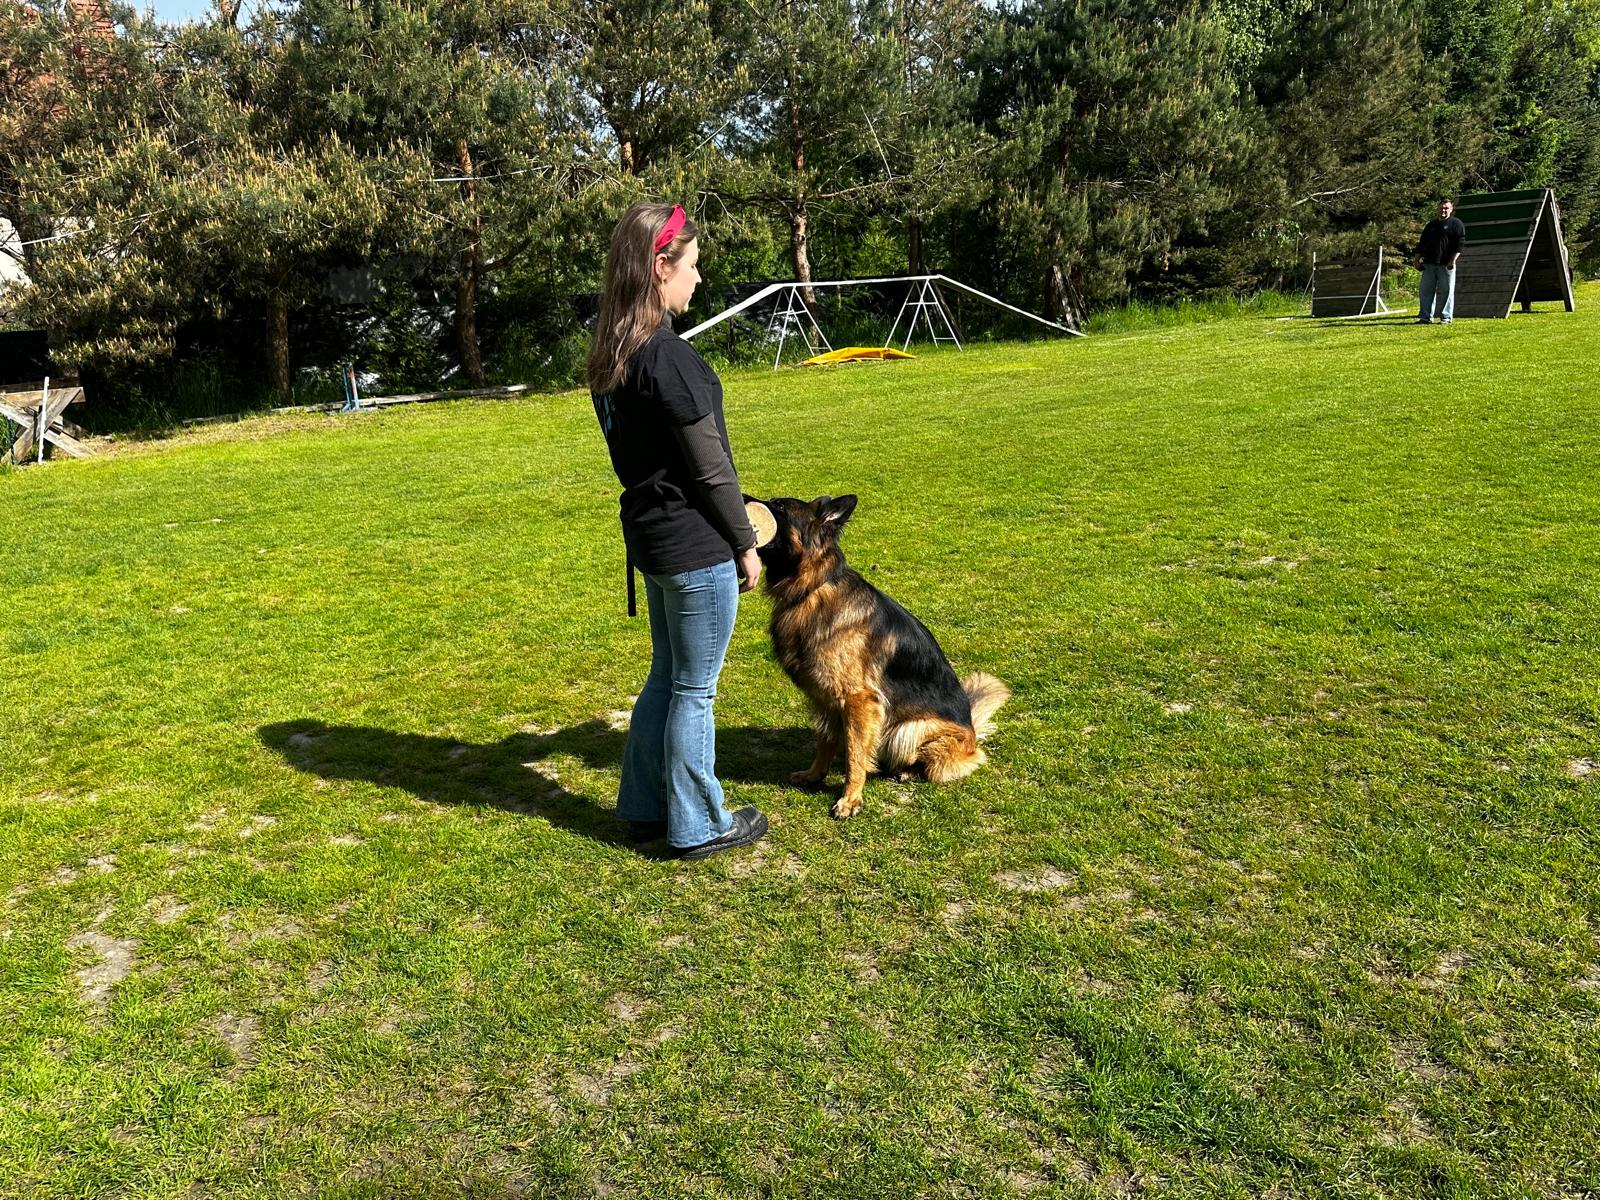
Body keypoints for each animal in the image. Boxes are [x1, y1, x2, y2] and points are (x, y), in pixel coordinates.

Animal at [756, 493, 1010, 819]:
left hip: (910, 730)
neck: (813, 586)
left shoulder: (859, 700)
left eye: (779, 506)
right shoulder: (825, 699)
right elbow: (825, 741)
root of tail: (973, 732)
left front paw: (850, 799)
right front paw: (815, 775)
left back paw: (909, 771)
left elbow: (855, 756)